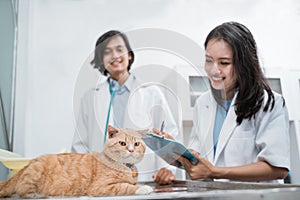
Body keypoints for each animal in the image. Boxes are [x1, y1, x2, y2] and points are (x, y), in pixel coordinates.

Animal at [0, 126, 152, 198]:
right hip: (36, 172)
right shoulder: (101, 187)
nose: (131, 150)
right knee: (23, 191)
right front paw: (143, 188)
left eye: (137, 144)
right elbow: (126, 186)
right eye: (122, 143)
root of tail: (26, 166)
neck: (126, 168)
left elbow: (131, 184)